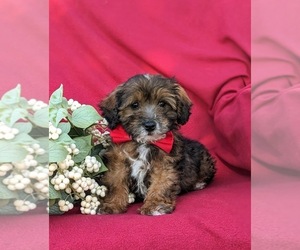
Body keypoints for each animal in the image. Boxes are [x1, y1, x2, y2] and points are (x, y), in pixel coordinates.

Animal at [98, 73, 216, 215]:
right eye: (135, 105)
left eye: (162, 104)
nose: (150, 125)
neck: (144, 143)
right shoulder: (118, 162)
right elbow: (116, 182)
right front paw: (112, 204)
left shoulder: (164, 165)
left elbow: (161, 184)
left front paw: (155, 205)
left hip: (203, 160)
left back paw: (198, 183)